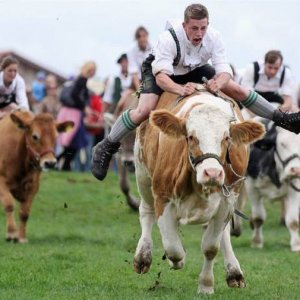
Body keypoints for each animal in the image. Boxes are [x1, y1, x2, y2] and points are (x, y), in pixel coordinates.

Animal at [0, 111, 72, 243]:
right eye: (35, 136)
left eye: (55, 137)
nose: (50, 163)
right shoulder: (1, 181)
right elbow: (9, 204)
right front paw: (11, 233)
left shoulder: (33, 186)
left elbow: (25, 212)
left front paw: (22, 237)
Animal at [132, 90, 264, 294]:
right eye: (191, 137)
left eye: (226, 138)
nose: (213, 173)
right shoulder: (162, 197)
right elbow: (173, 248)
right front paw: (177, 260)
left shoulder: (226, 202)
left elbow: (210, 247)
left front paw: (206, 286)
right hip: (142, 176)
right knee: (146, 212)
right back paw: (143, 256)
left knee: (223, 233)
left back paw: (234, 272)